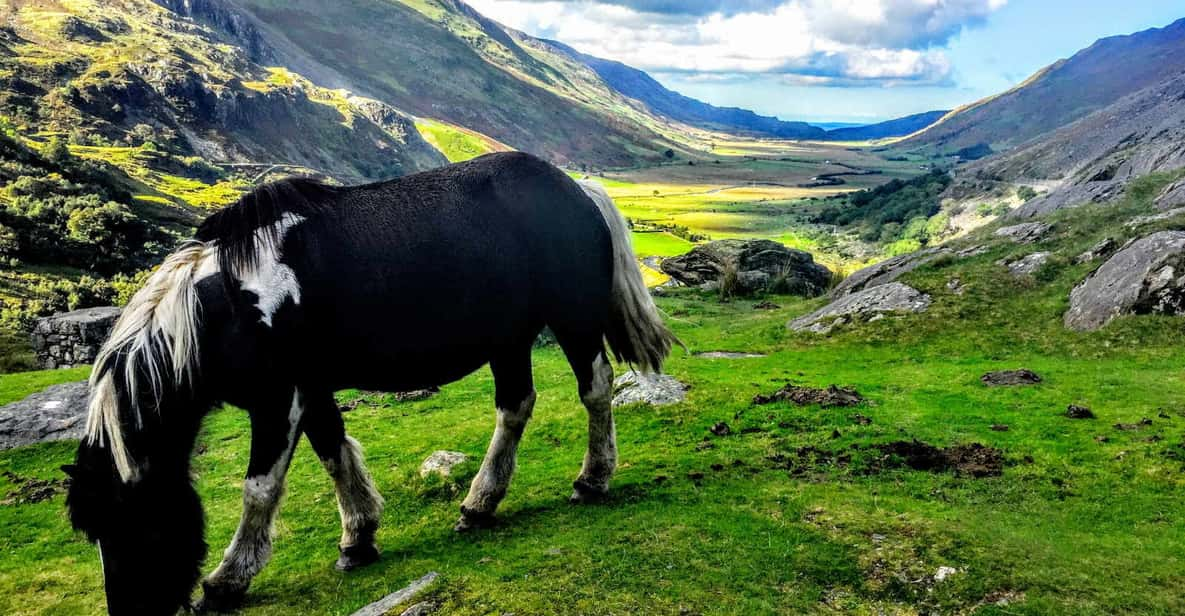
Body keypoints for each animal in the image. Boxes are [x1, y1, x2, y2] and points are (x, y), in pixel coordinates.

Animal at [62, 150, 677, 616]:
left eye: (128, 523)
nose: (131, 613)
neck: (230, 304)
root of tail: (577, 189)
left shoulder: (278, 400)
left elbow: (260, 486)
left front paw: (228, 579)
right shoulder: (311, 392)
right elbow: (334, 453)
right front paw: (358, 538)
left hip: (572, 320)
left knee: (594, 388)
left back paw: (592, 479)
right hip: (509, 341)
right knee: (515, 405)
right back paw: (479, 504)